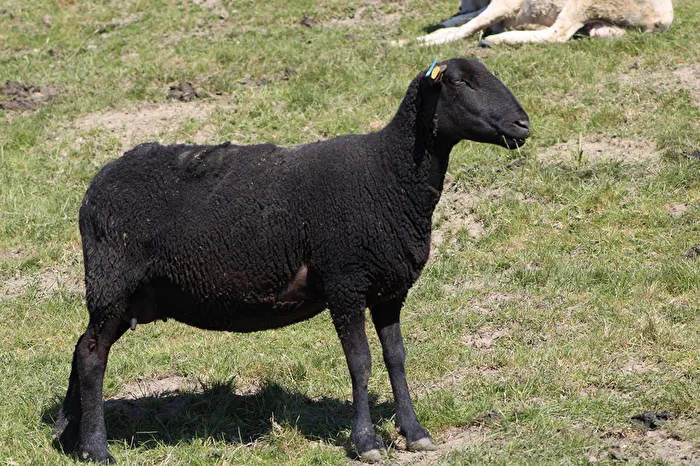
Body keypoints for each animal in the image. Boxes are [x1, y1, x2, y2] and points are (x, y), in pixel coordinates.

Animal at [51, 58, 530, 464]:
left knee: (82, 348)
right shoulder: (345, 280)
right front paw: (366, 442)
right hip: (112, 283)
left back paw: (68, 436)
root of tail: (98, 182)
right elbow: (361, 362)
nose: (523, 123)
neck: (390, 173)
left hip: (130, 297)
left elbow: (396, 357)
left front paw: (414, 433)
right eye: (460, 82)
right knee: (92, 356)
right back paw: (97, 449)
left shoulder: (388, 290)